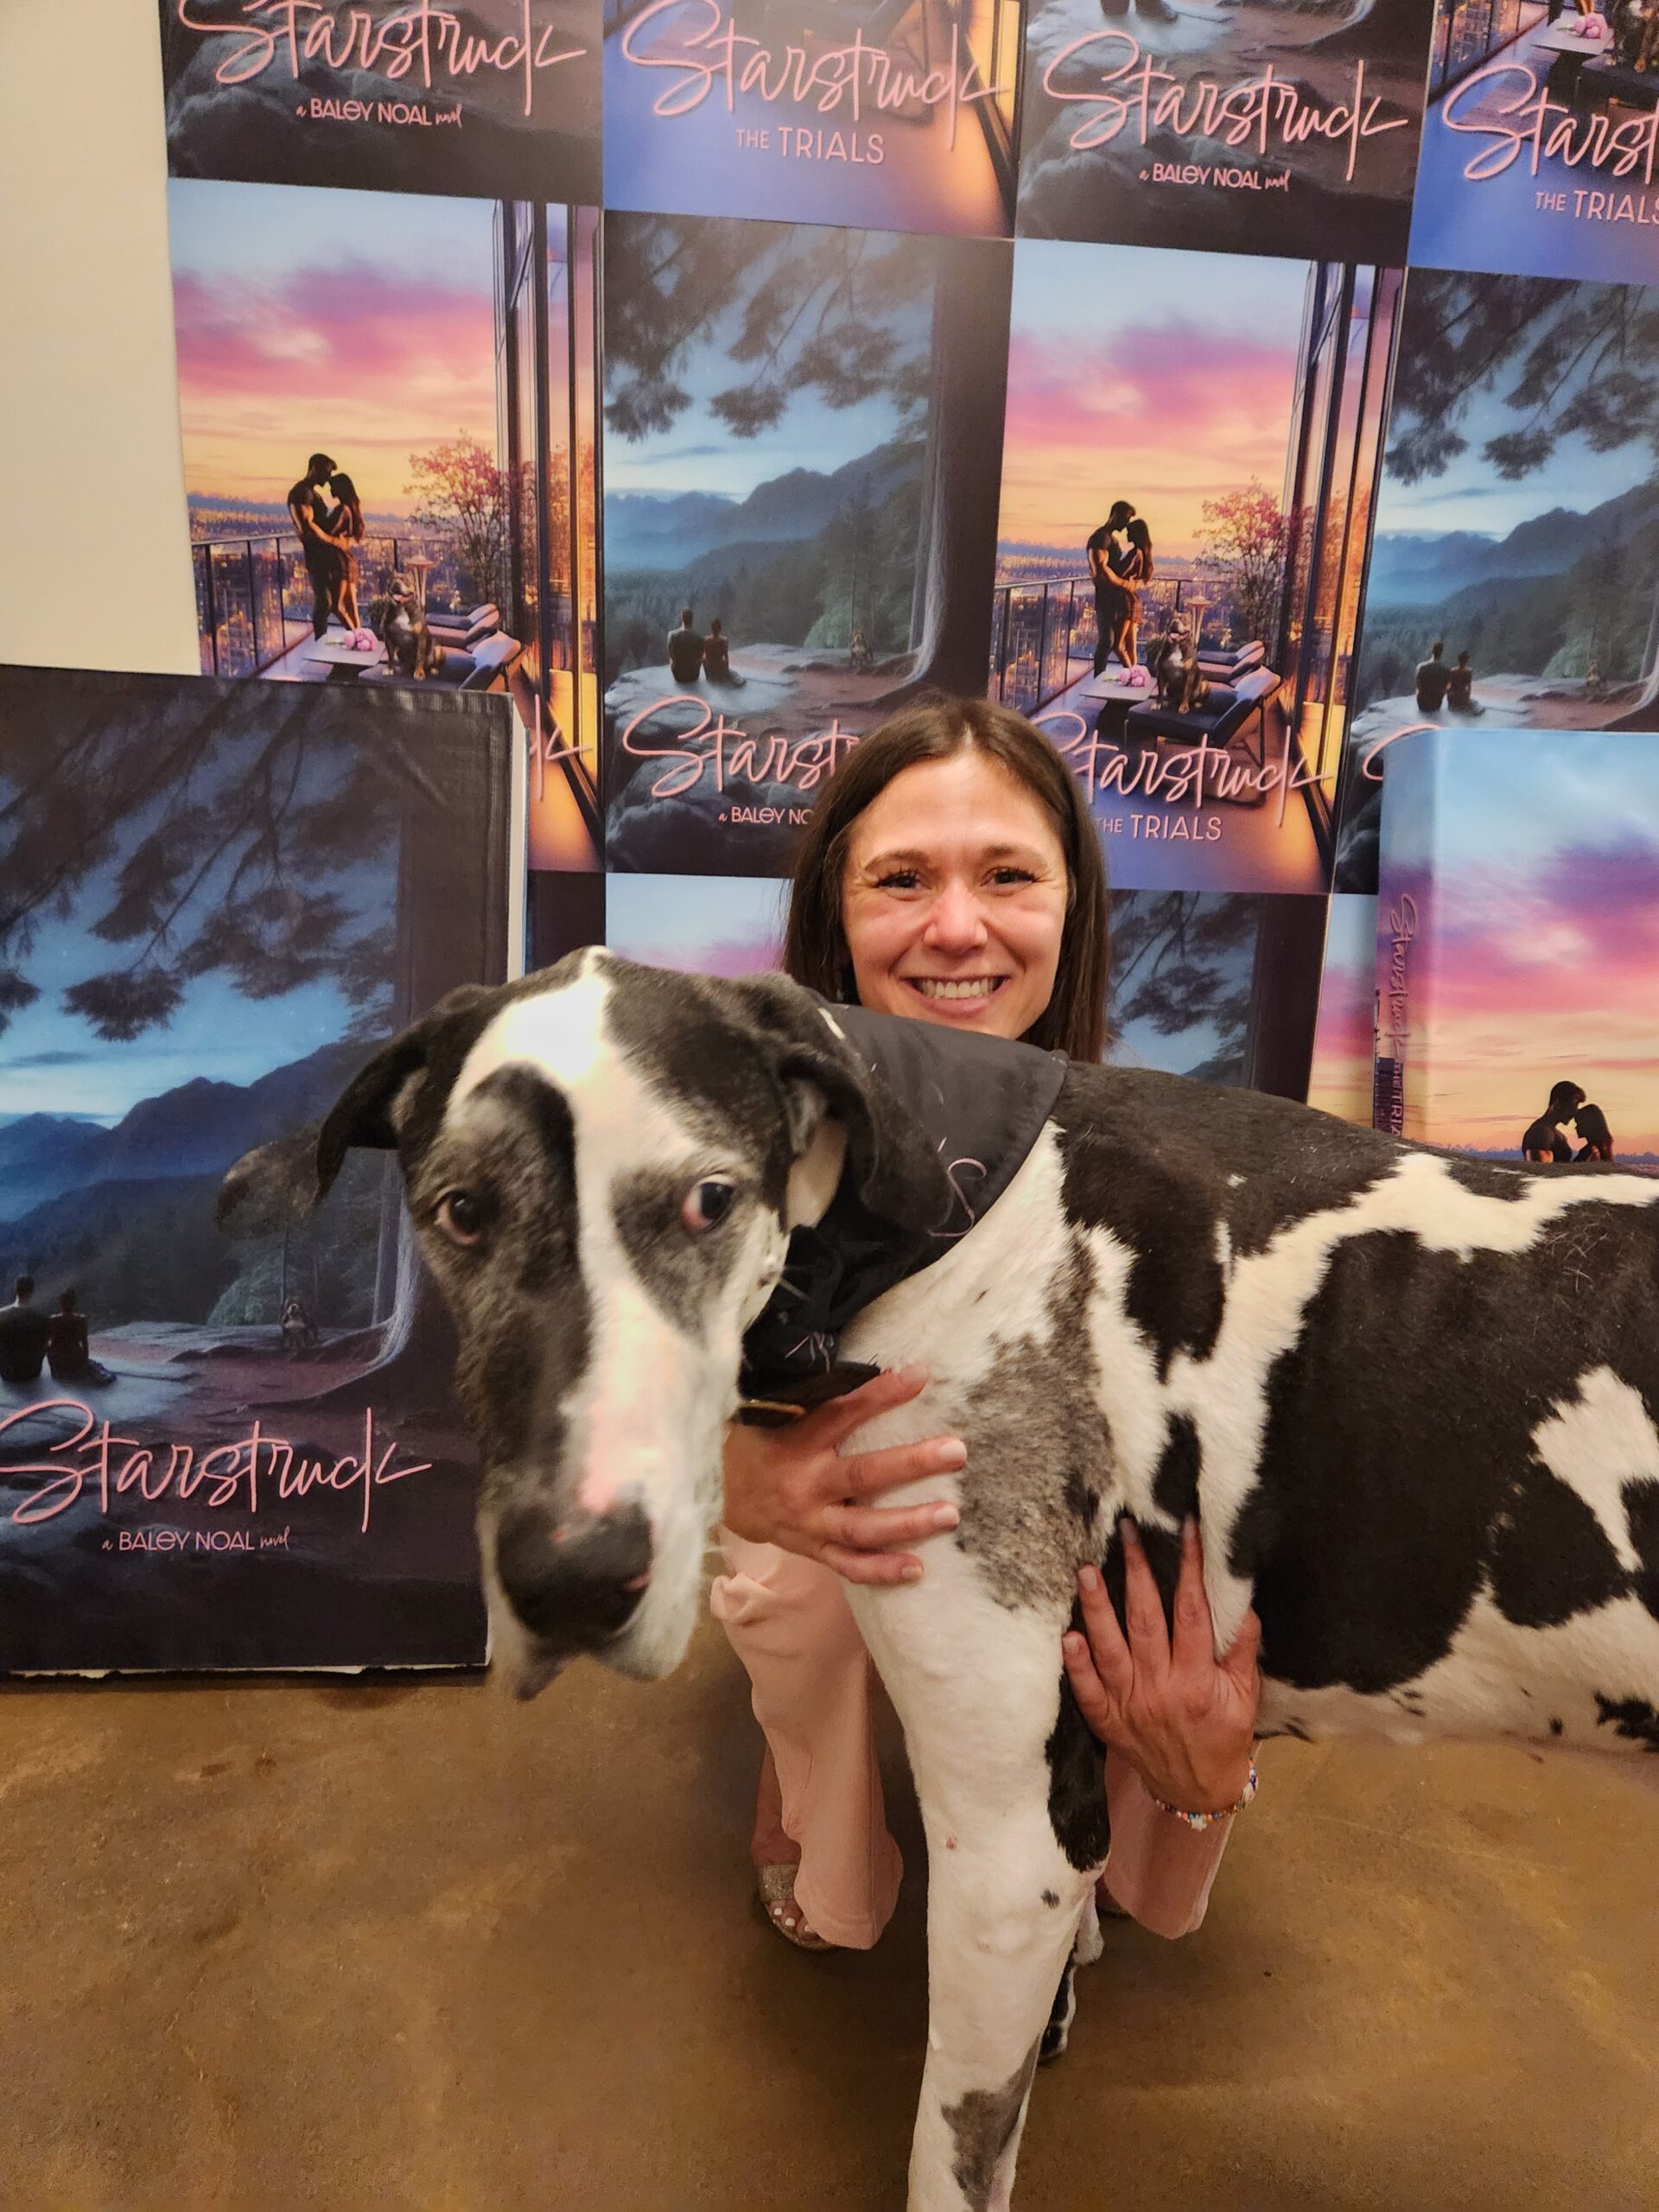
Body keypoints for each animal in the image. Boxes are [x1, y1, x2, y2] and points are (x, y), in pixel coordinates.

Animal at [218, 952, 1659, 2212]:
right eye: (464, 1211)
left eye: (708, 1200)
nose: (571, 1583)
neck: (935, 1214)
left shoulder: (1004, 1854)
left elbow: (951, 2149)